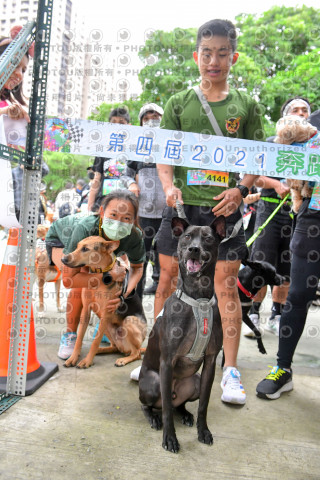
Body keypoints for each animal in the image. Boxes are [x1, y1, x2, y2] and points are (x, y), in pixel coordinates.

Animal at [60, 235, 147, 368]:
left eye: (85, 249)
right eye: (77, 246)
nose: (63, 259)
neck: (99, 275)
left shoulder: (106, 313)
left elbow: (95, 341)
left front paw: (87, 361)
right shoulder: (86, 310)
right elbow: (79, 338)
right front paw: (73, 357)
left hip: (127, 321)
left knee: (136, 354)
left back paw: (123, 359)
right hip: (106, 325)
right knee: (115, 347)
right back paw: (101, 350)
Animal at [139, 216, 226, 452]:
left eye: (208, 238)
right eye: (187, 237)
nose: (194, 249)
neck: (199, 299)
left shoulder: (211, 360)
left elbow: (204, 404)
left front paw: (203, 431)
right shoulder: (167, 361)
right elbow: (167, 410)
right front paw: (170, 438)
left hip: (193, 380)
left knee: (178, 404)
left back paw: (185, 413)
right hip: (153, 381)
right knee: (150, 405)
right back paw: (153, 417)